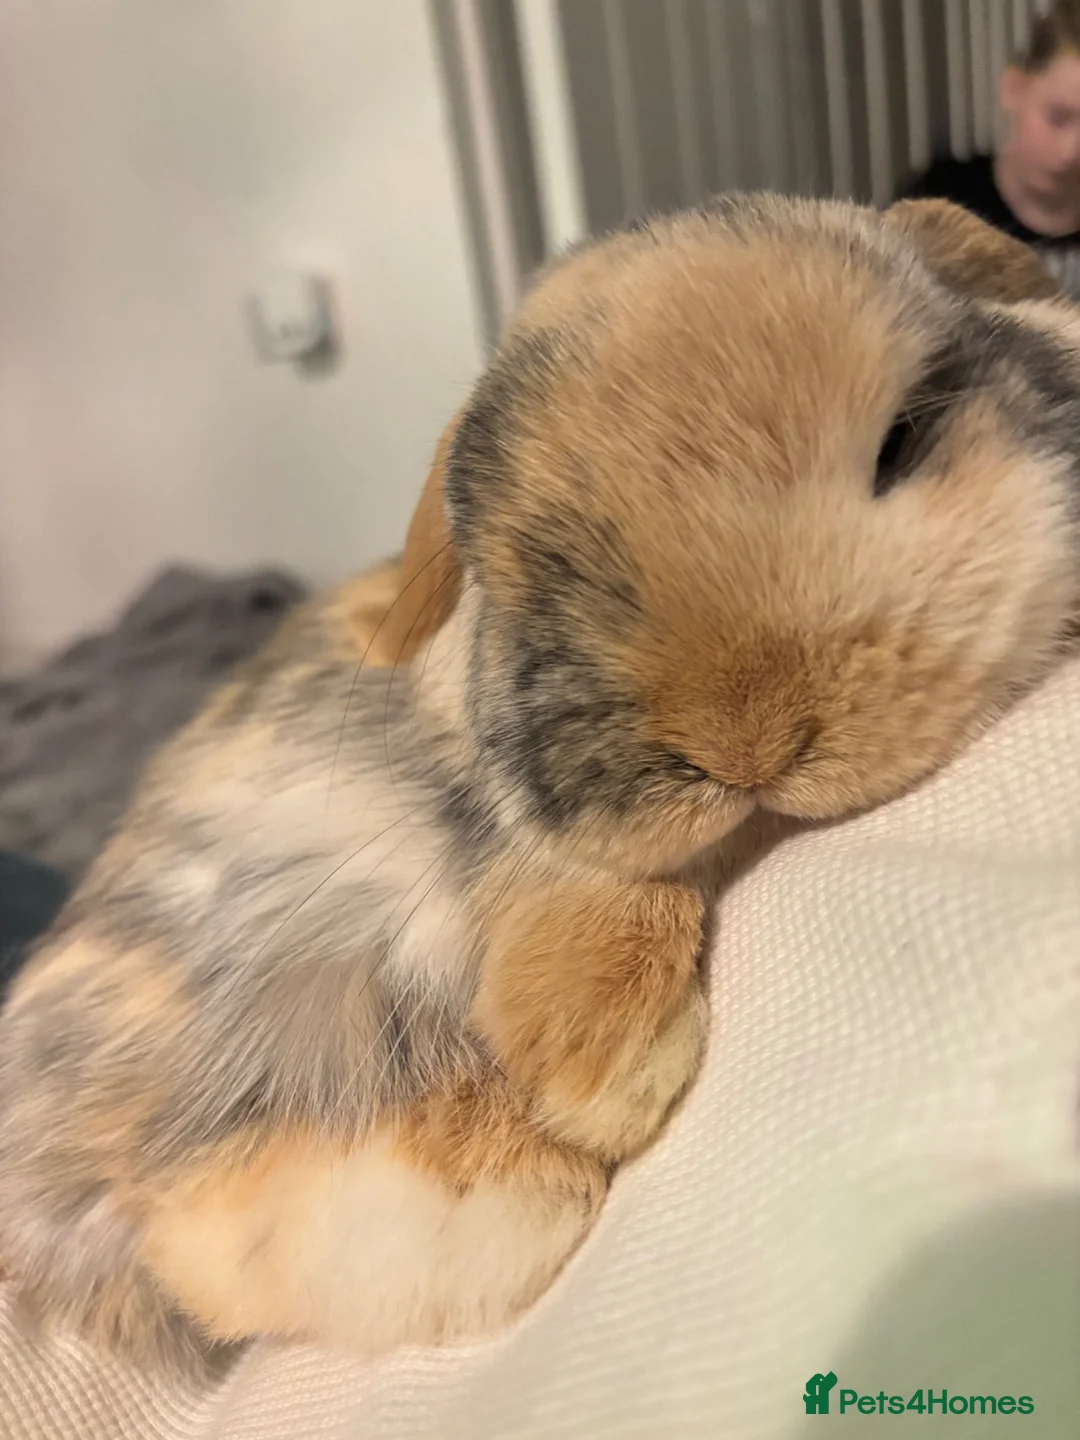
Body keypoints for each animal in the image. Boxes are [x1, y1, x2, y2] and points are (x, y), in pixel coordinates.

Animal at [1, 194, 1079, 1378]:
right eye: (515, 565)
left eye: (906, 438)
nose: (744, 742)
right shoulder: (505, 817)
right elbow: (591, 879)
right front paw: (609, 1079)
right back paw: (506, 1192)